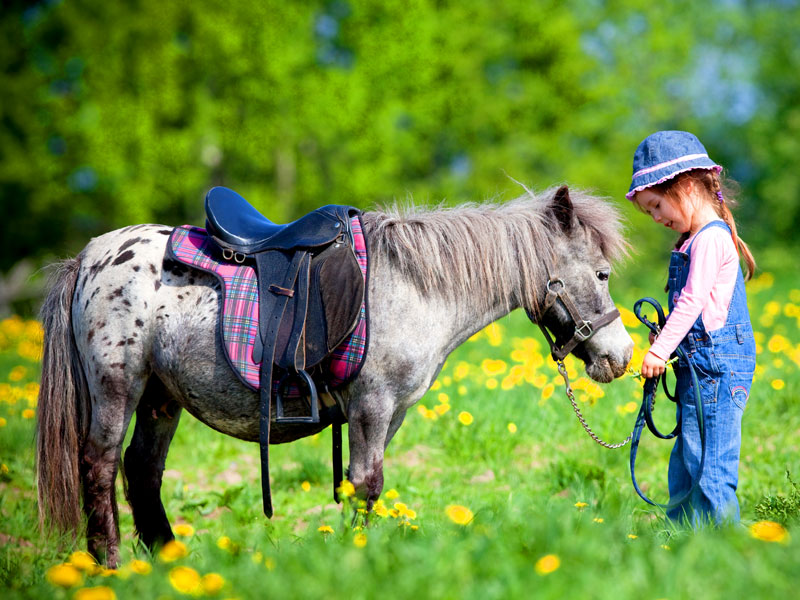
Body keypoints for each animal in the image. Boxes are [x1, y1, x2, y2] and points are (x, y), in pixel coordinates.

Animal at [37, 185, 636, 564]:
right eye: (602, 273)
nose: (622, 356)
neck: (414, 286)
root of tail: (90, 257)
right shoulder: (371, 404)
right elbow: (366, 484)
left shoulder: (390, 414)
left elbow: (360, 486)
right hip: (118, 388)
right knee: (100, 467)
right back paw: (111, 566)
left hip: (161, 398)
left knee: (142, 471)